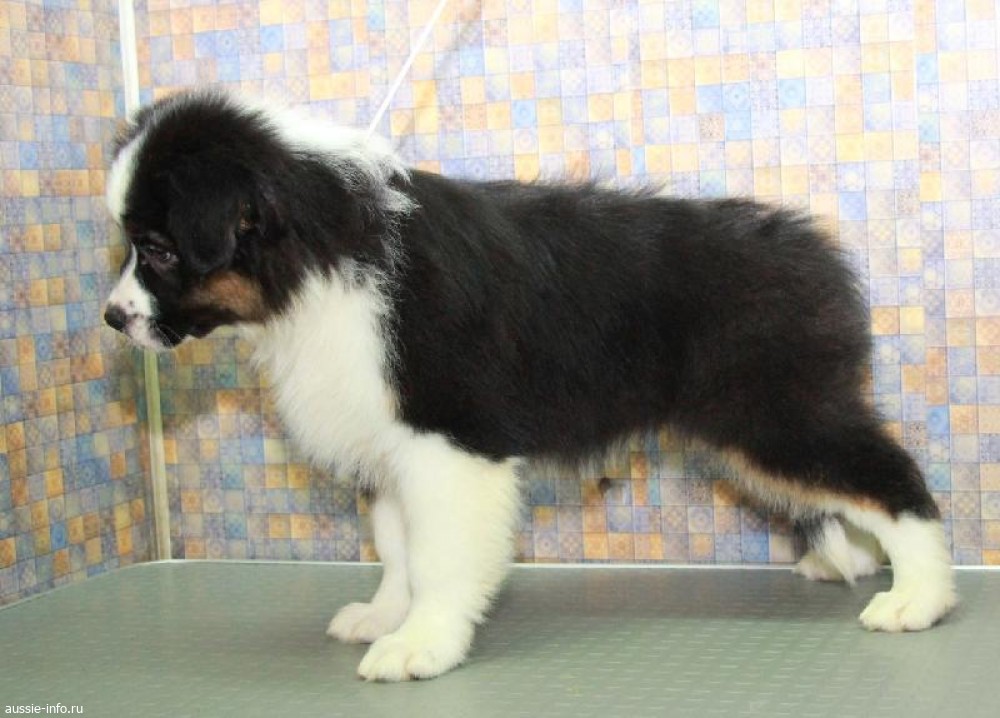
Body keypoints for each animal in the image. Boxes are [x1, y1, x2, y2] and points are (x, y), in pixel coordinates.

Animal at [103, 89, 956, 681]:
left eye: (159, 248)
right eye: (133, 246)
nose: (113, 318)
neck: (322, 250)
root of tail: (816, 253)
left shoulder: (450, 437)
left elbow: (440, 556)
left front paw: (423, 645)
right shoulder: (392, 440)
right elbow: (396, 548)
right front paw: (386, 617)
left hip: (774, 410)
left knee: (892, 480)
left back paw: (920, 597)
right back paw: (844, 560)